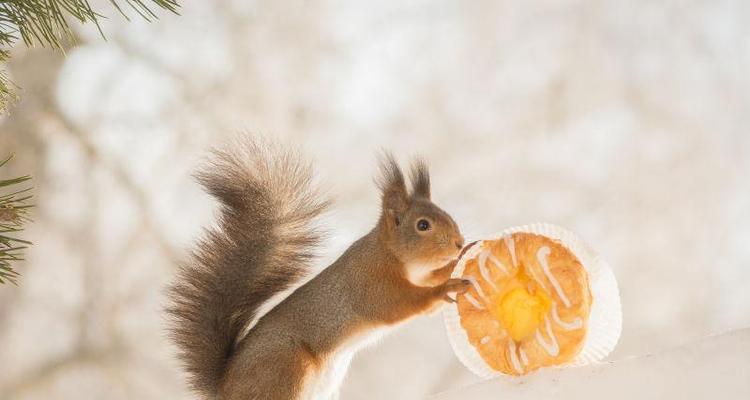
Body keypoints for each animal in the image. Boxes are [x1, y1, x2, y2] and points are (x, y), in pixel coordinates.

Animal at [168, 138, 472, 400]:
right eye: (423, 225)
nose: (459, 242)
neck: (396, 257)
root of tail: (226, 387)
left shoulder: (419, 274)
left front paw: (457, 263)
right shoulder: (371, 282)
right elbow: (403, 303)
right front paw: (446, 287)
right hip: (285, 366)